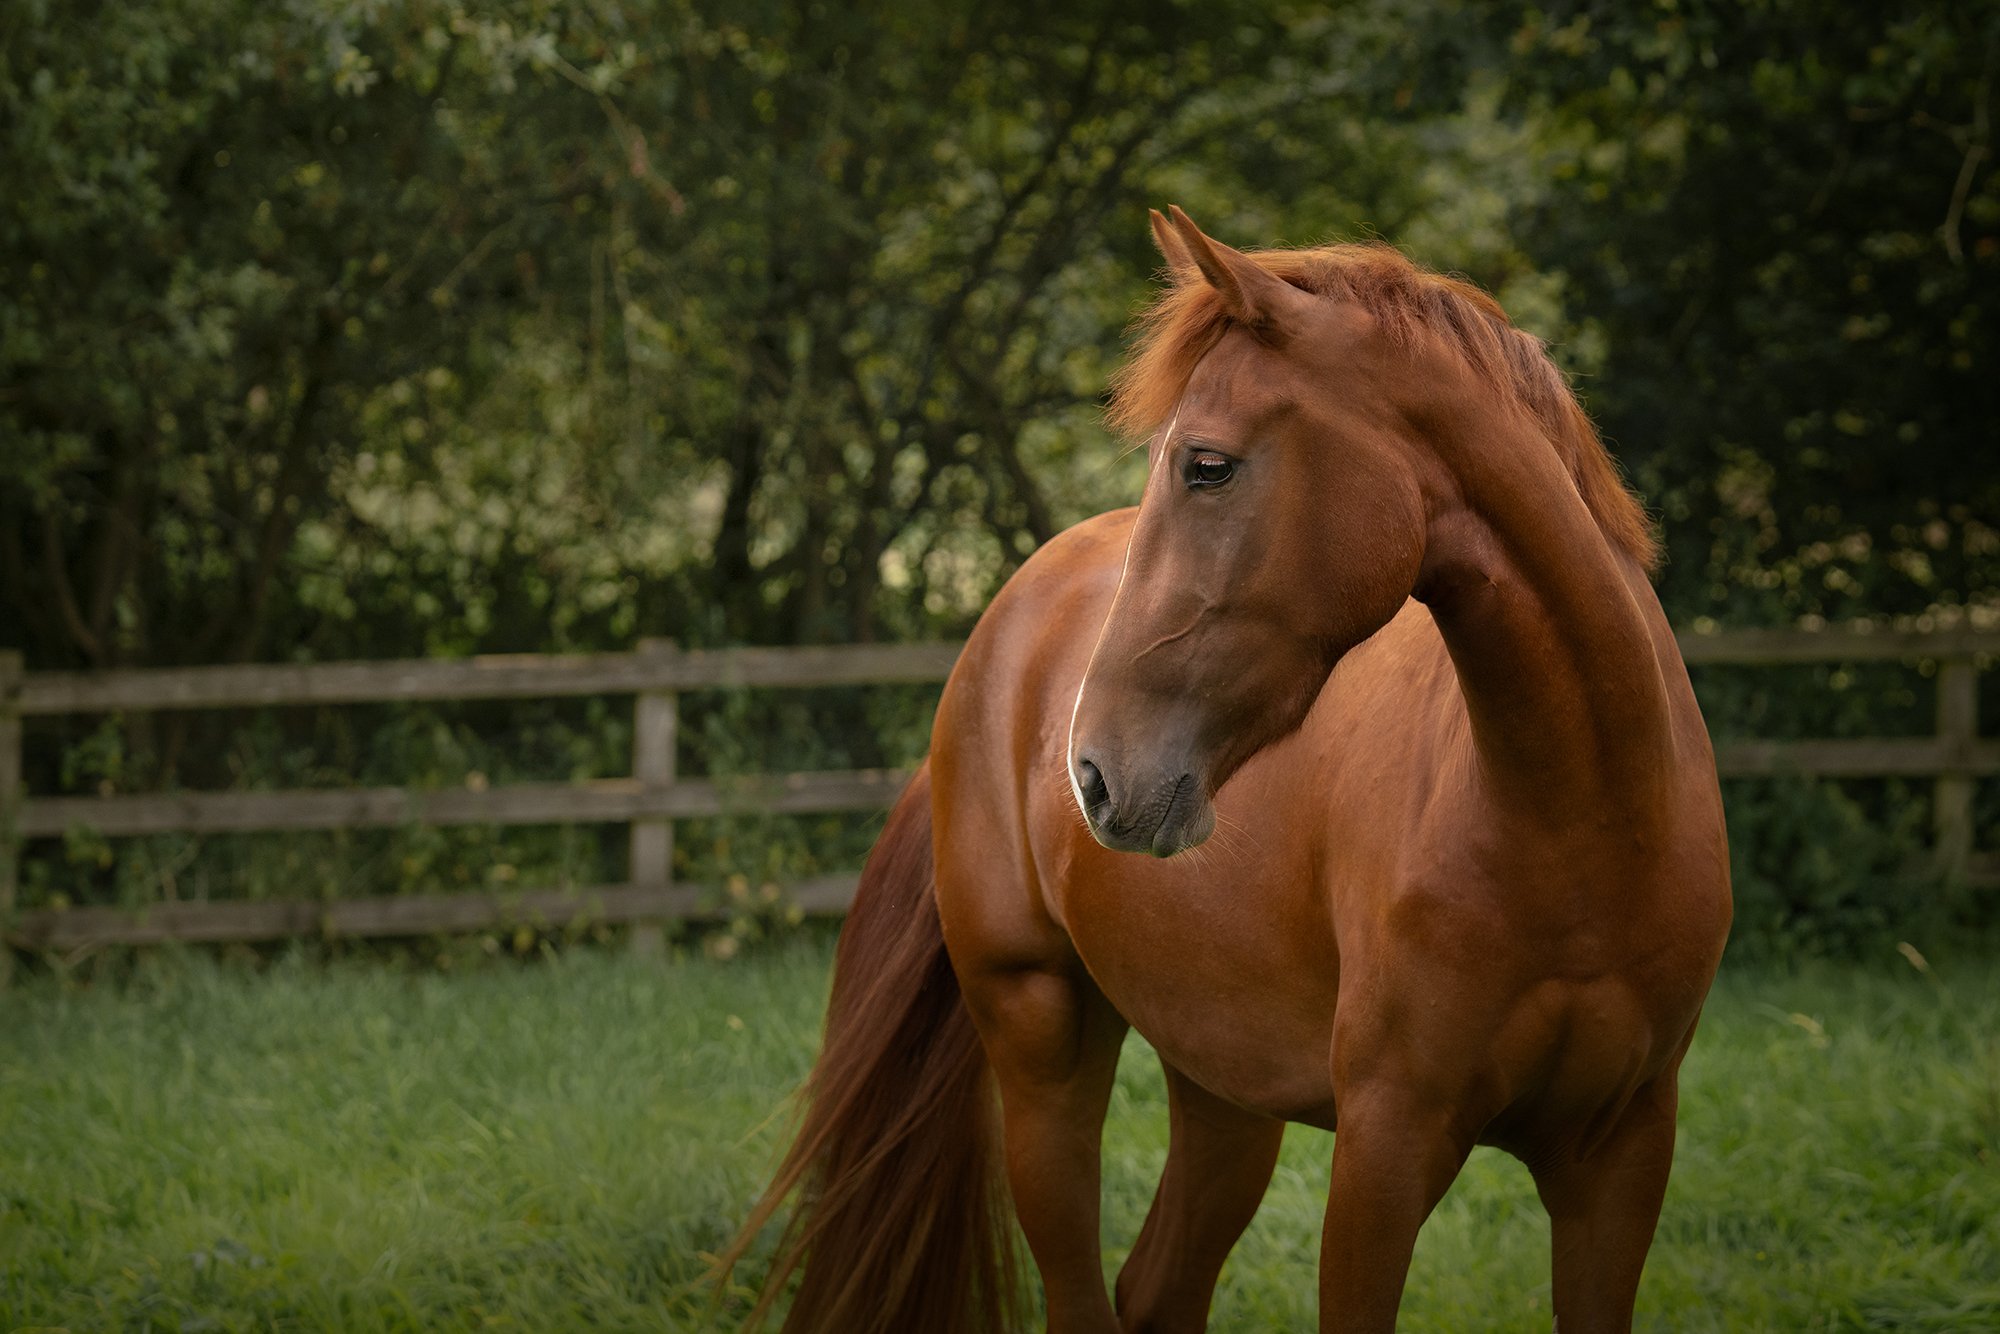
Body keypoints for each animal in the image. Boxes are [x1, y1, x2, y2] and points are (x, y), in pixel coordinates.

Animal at [720, 208, 1732, 1334]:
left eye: (1205, 465)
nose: (1094, 772)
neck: (1575, 820)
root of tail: (1003, 624)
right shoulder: (1387, 1148)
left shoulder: (1621, 1159)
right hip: (1042, 1038)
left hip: (1221, 1086)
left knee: (1157, 1288)